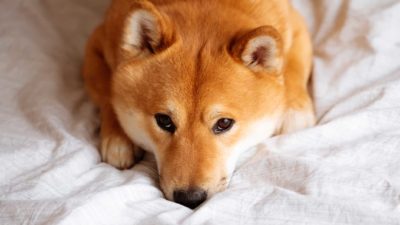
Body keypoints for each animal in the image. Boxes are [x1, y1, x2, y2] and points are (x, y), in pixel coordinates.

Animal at [83, 0, 314, 208]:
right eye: (164, 121)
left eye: (224, 123)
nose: (190, 198)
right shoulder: (97, 42)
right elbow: (108, 92)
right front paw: (118, 138)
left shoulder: (297, 26)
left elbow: (294, 67)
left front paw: (295, 110)